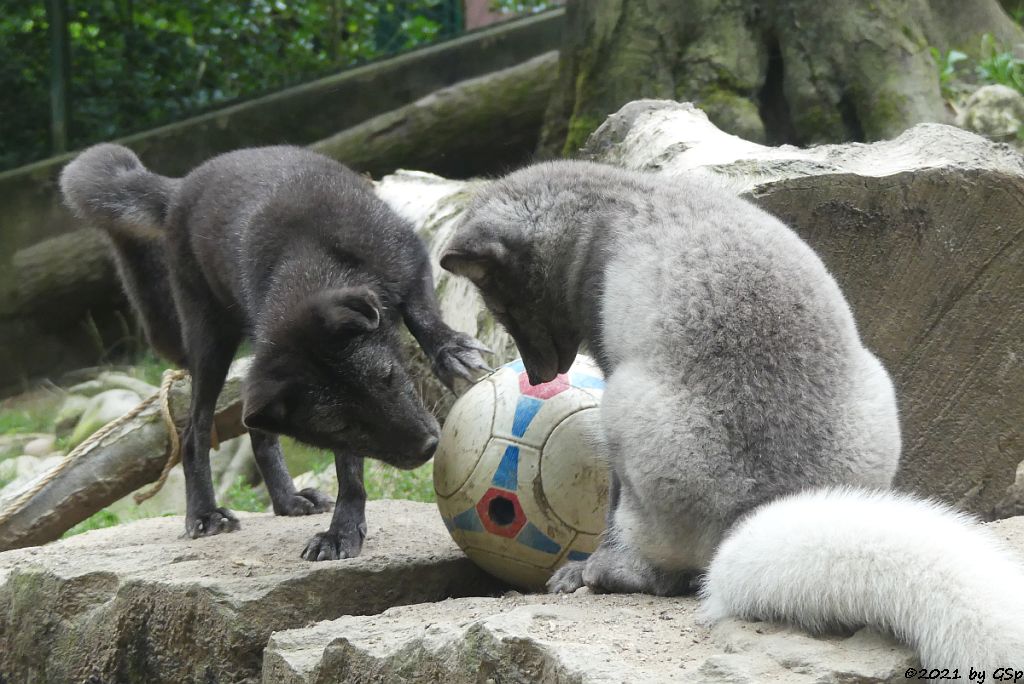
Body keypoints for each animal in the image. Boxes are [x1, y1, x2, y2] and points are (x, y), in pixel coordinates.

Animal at [62, 144, 487, 561]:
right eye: (342, 426)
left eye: (388, 377)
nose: (427, 448)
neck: (311, 254)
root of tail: (182, 184)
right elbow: (349, 469)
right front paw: (342, 530)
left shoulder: (410, 260)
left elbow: (422, 313)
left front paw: (451, 350)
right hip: (210, 342)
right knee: (195, 433)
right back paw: (205, 513)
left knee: (258, 434)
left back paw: (287, 500)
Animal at [442, 157, 1024, 663]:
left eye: (502, 308)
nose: (539, 378)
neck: (616, 209)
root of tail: (758, 511)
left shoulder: (609, 355)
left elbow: (607, 508)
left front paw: (582, 566)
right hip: (877, 386)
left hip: (622, 405)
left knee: (668, 576)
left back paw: (608, 572)